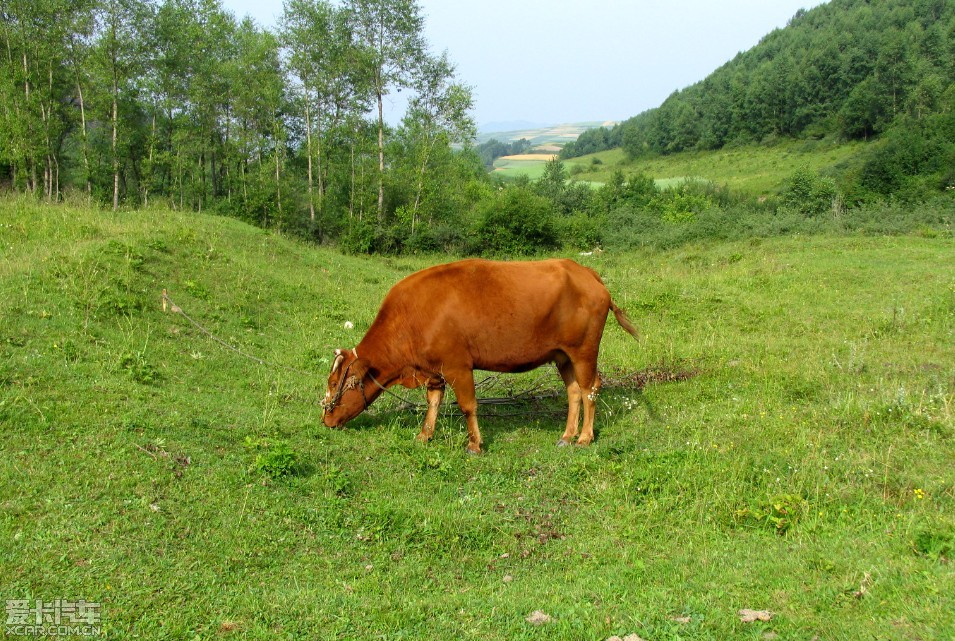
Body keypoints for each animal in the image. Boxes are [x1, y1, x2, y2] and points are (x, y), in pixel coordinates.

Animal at [324, 258, 644, 452]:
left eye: (337, 384)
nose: (326, 420)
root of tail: (584, 271)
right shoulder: (434, 370)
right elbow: (433, 402)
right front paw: (425, 435)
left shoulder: (458, 366)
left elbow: (468, 405)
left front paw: (474, 444)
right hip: (563, 356)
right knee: (575, 391)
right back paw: (567, 435)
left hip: (584, 351)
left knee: (591, 389)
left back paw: (585, 437)